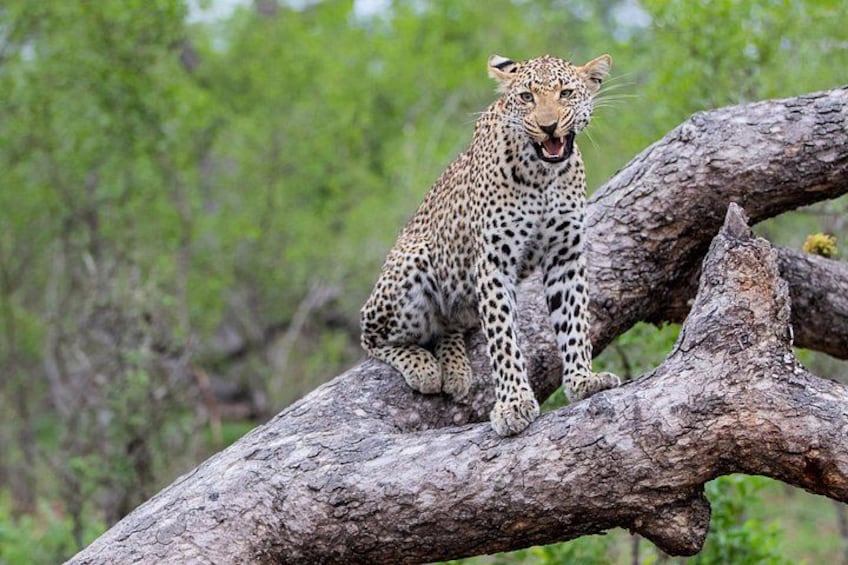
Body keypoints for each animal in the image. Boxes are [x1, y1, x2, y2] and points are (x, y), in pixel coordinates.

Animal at [360, 53, 621, 436]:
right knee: (370, 335)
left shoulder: (566, 255)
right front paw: (513, 404)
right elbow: (503, 339)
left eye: (566, 93)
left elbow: (574, 322)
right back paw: (423, 366)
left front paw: (583, 380)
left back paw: (453, 367)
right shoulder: (494, 262)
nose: (548, 127)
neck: (543, 176)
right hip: (413, 260)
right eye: (527, 97)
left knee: (447, 328)